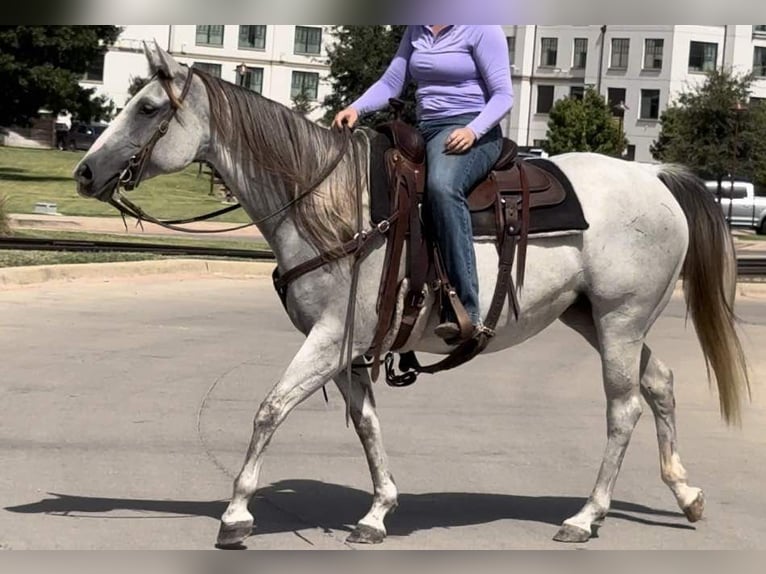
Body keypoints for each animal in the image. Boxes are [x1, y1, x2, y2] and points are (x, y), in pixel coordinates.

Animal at [73, 43, 749, 548]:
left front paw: (237, 515)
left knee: (624, 408)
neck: (334, 205)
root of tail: (653, 174)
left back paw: (586, 517)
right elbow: (366, 423)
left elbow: (270, 408)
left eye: (148, 107)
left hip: (619, 318)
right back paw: (685, 494)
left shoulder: (329, 339)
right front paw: (377, 514)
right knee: (659, 384)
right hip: (593, 318)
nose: (83, 172)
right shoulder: (349, 347)